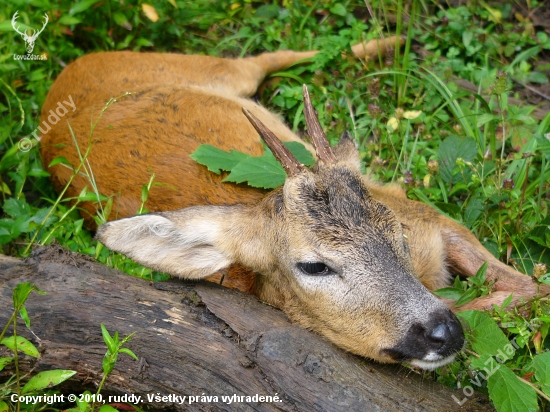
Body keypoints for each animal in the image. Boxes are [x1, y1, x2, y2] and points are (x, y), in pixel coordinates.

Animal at [41, 37, 548, 368]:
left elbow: (525, 285)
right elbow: (520, 294)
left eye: (397, 233)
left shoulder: (422, 212)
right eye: (313, 266)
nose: (443, 333)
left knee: (271, 57)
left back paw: (389, 43)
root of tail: (60, 83)